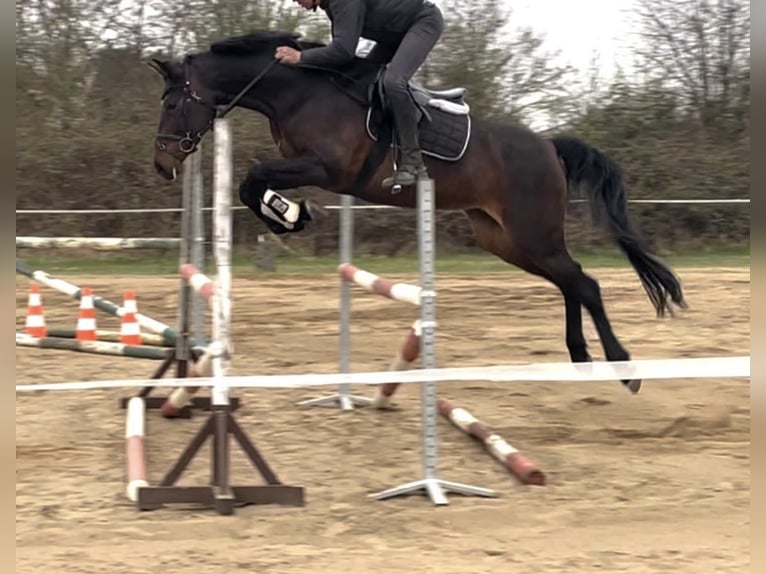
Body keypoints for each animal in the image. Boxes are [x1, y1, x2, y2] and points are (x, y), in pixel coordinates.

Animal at [149, 30, 687, 393]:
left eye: (173, 104)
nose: (162, 165)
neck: (298, 92)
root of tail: (550, 147)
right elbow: (250, 185)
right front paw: (289, 215)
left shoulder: (325, 169)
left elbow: (254, 178)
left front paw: (288, 214)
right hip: (506, 240)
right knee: (570, 281)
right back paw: (581, 358)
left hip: (532, 234)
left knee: (584, 283)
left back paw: (623, 366)